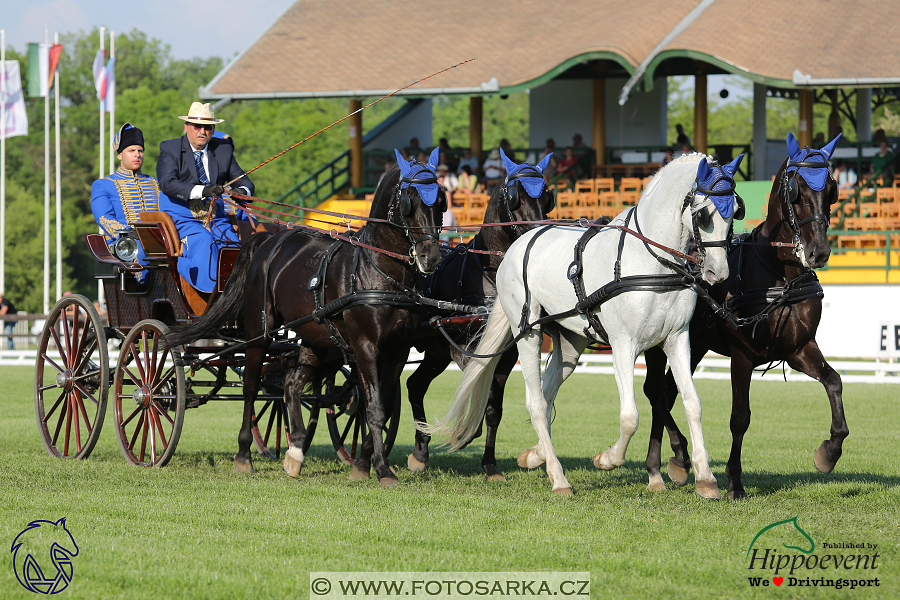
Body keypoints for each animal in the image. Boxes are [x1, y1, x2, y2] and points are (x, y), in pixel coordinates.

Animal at [165, 151, 446, 488]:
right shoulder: (365, 345)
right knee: (251, 386)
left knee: (290, 384)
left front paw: (362, 463)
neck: (378, 272)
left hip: (316, 337)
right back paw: (244, 455)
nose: (431, 256)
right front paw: (382, 469)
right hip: (260, 331)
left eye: (440, 200)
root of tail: (267, 241)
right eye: (408, 200)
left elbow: (382, 402)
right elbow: (375, 407)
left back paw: (295, 451)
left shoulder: (398, 349)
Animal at [406, 151, 556, 482]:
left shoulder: (506, 355)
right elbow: (478, 394)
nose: (538, 232)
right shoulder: (465, 350)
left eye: (547, 196)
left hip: (436, 352)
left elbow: (493, 409)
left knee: (415, 385)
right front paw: (463, 435)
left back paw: (420, 450)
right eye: (515, 195)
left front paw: (489, 464)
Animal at [422, 154, 744, 496]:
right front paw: (607, 459)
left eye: (735, 211)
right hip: (528, 332)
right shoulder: (623, 345)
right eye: (704, 214)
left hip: (570, 342)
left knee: (547, 395)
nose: (717, 273)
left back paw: (535, 456)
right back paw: (558, 477)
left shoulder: (676, 340)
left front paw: (705, 478)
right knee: (536, 403)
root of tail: (516, 246)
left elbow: (693, 404)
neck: (650, 262)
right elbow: (630, 416)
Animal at [644, 134, 848, 500]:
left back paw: (668, 463)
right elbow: (740, 417)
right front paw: (734, 482)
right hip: (660, 343)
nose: (818, 252)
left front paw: (829, 452)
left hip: (695, 347)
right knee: (655, 391)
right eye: (795, 189)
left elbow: (834, 382)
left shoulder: (798, 349)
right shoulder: (742, 355)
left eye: (831, 188)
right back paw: (676, 457)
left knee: (666, 391)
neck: (781, 275)